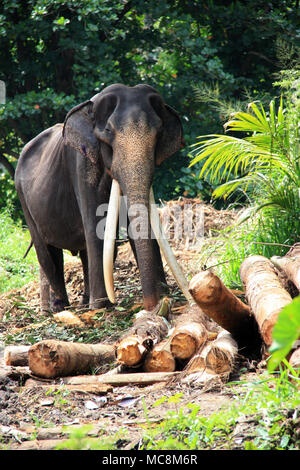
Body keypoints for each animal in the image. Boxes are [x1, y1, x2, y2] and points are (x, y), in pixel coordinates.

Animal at [14, 83, 190, 314]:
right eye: (108, 132)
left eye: (158, 133)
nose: (152, 305)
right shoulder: (82, 166)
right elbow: (97, 226)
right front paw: (102, 307)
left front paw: (163, 295)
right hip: (24, 200)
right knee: (48, 253)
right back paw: (61, 309)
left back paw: (82, 303)